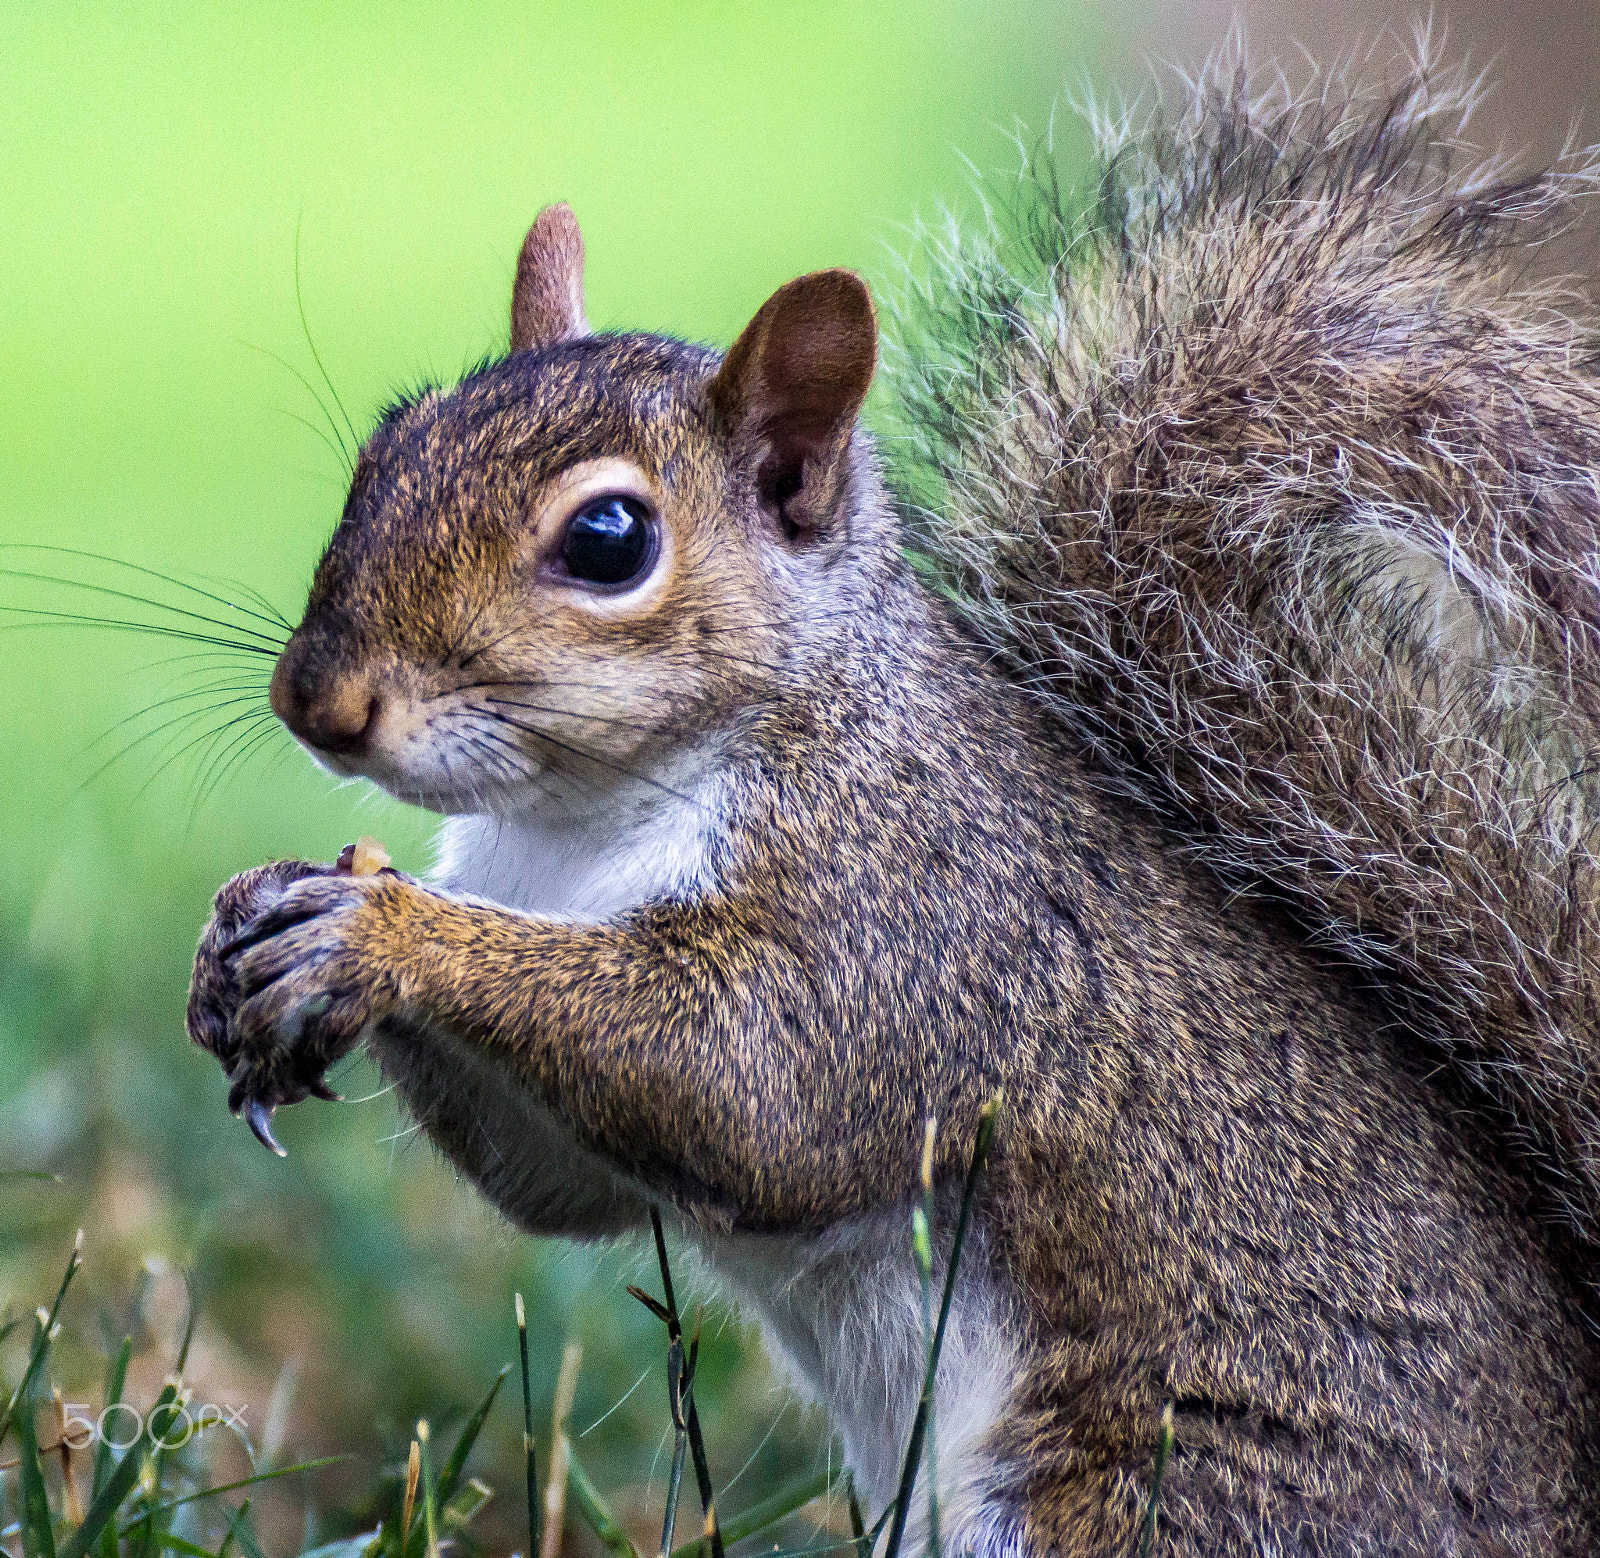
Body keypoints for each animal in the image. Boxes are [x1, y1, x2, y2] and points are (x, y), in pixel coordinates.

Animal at [184, 51, 1600, 1557]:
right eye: (389, 444)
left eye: (610, 540)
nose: (316, 700)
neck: (572, 828)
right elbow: (558, 1187)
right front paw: (264, 921)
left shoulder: (907, 916)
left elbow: (748, 1080)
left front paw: (384, 932)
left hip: (1162, 1501)